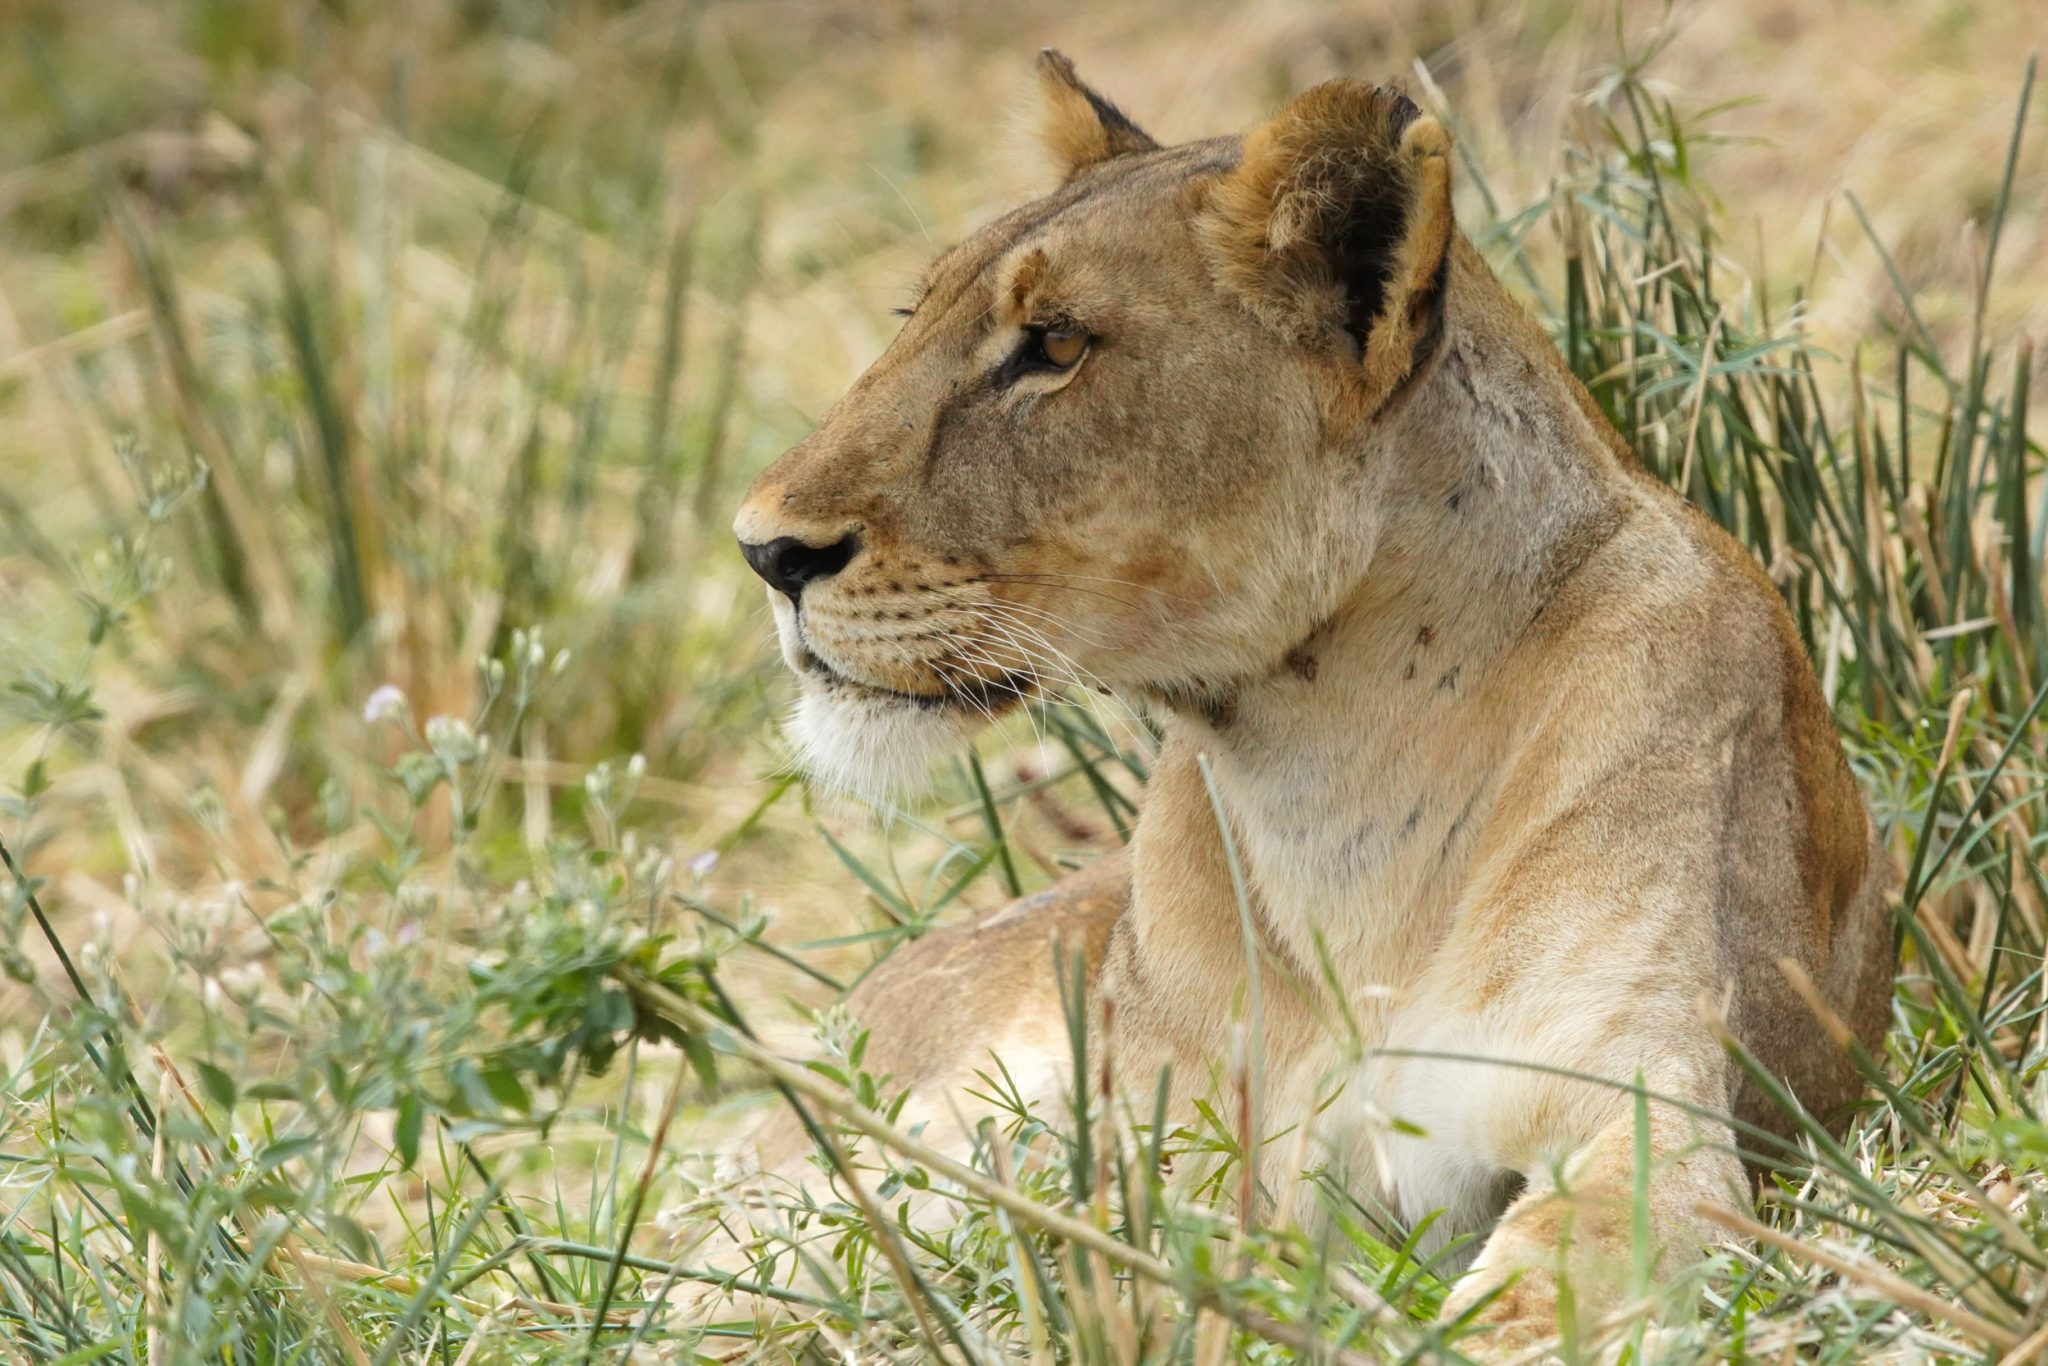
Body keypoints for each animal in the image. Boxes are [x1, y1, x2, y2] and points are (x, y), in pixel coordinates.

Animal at [724, 52, 1896, 1357]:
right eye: (911, 321)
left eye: (1053, 343)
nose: (762, 550)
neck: (1334, 768)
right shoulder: (1185, 1161)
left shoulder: (1641, 1106)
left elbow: (1541, 1284)